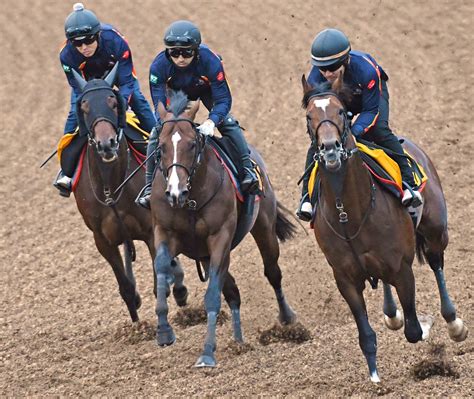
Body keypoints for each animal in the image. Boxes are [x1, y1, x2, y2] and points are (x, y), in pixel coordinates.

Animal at [68, 65, 189, 322]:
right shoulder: (102, 239)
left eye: (114, 103)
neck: (112, 187)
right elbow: (125, 287)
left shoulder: (151, 230)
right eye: (84, 107)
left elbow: (160, 283)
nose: (107, 144)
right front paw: (135, 321)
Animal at [150, 90, 296, 368]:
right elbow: (162, 270)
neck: (191, 200)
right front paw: (163, 331)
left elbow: (212, 296)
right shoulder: (165, 232)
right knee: (233, 293)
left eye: (192, 145)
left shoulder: (220, 238)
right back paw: (238, 341)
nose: (175, 192)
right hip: (206, 256)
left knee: (273, 273)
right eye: (161, 147)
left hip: (263, 227)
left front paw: (207, 353)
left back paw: (287, 319)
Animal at [302, 76, 468, 384]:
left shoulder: (402, 268)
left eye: (341, 111)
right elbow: (366, 335)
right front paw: (375, 377)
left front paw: (427, 326)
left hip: (436, 231)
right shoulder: (345, 278)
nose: (330, 149)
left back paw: (453, 323)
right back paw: (392, 314)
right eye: (309, 116)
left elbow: (414, 330)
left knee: (437, 264)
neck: (349, 213)